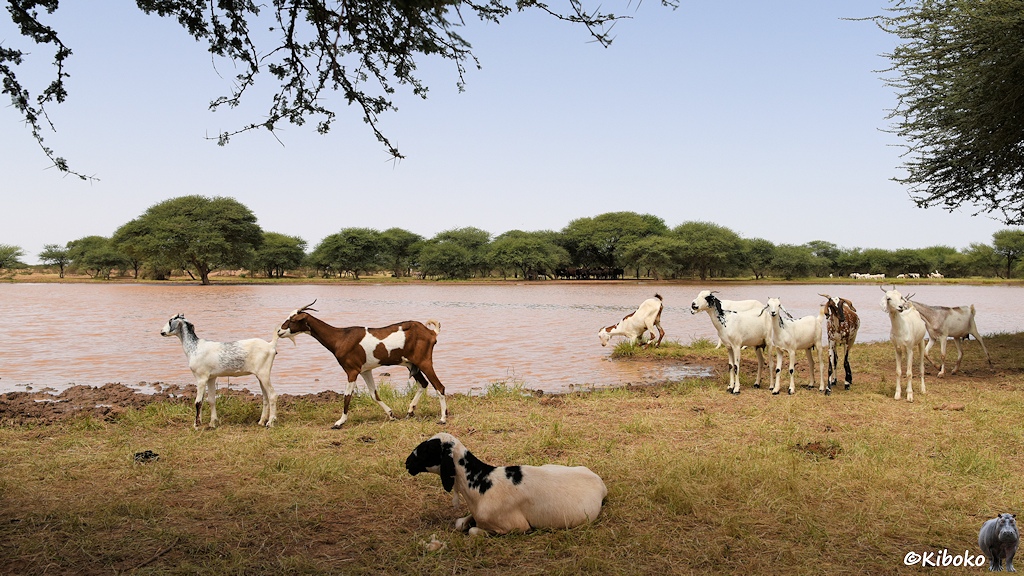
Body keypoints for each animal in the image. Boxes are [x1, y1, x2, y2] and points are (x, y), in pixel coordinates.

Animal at [277, 301, 447, 428]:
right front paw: (391, 415)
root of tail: (431, 333)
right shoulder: (365, 370)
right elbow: (374, 394)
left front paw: (340, 422)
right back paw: (410, 411)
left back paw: (443, 419)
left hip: (424, 361)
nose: (279, 331)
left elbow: (347, 396)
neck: (340, 338)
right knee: (423, 384)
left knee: (439, 387)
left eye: (292, 320)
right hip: (411, 364)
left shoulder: (352, 370)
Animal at [405, 433, 607, 537]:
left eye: (426, 449)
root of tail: (598, 481)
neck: (480, 484)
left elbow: (473, 531)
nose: (407, 463)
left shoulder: (514, 527)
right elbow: (461, 523)